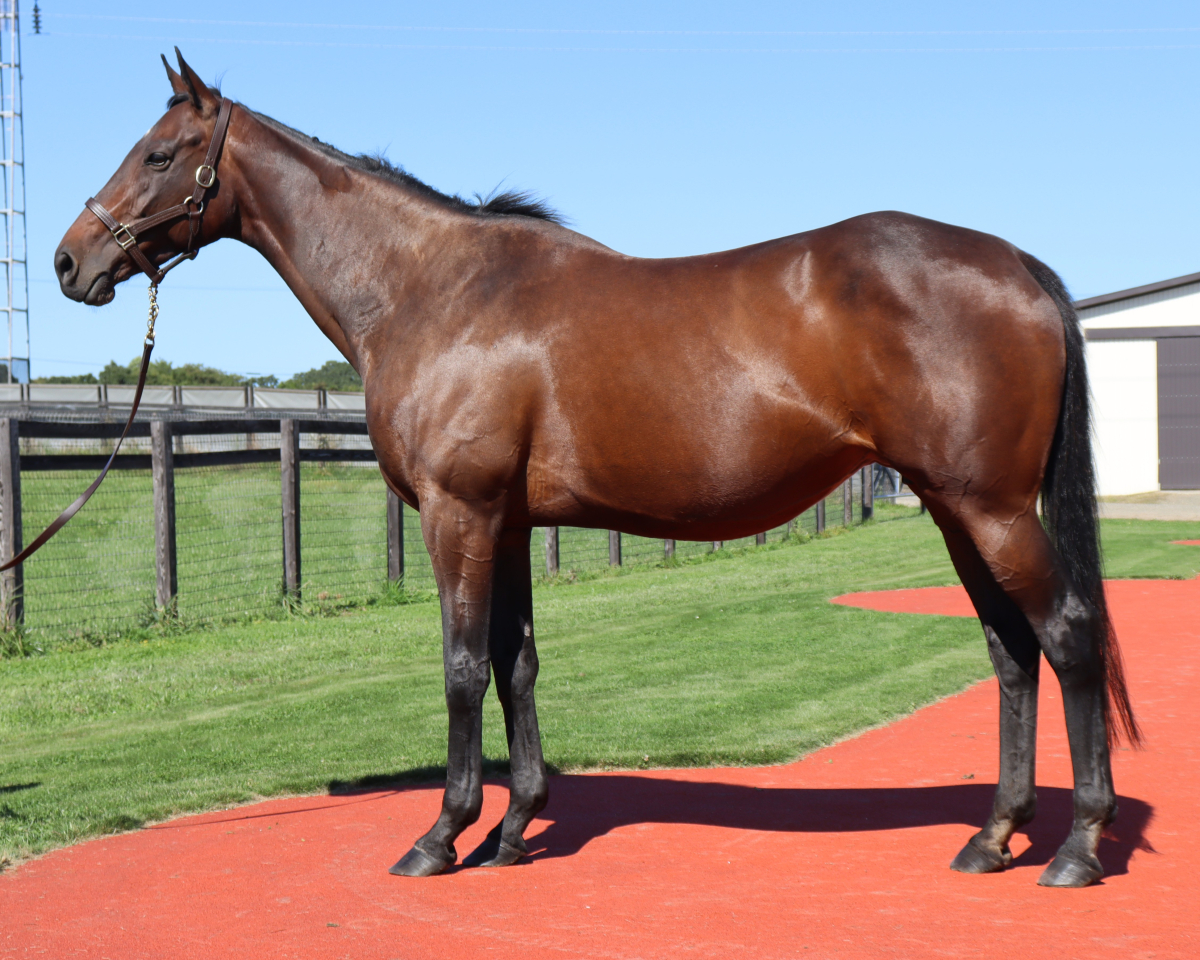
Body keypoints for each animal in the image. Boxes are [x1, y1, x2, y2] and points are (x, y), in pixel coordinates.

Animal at [53, 51, 1138, 887]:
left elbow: (459, 669)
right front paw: (512, 830)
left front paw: (441, 838)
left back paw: (1076, 847)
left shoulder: (458, 513)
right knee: (1011, 650)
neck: (432, 288)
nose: (70, 262)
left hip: (992, 510)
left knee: (1068, 635)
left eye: (159, 153)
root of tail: (1016, 264)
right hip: (958, 511)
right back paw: (992, 837)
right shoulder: (509, 522)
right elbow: (516, 662)